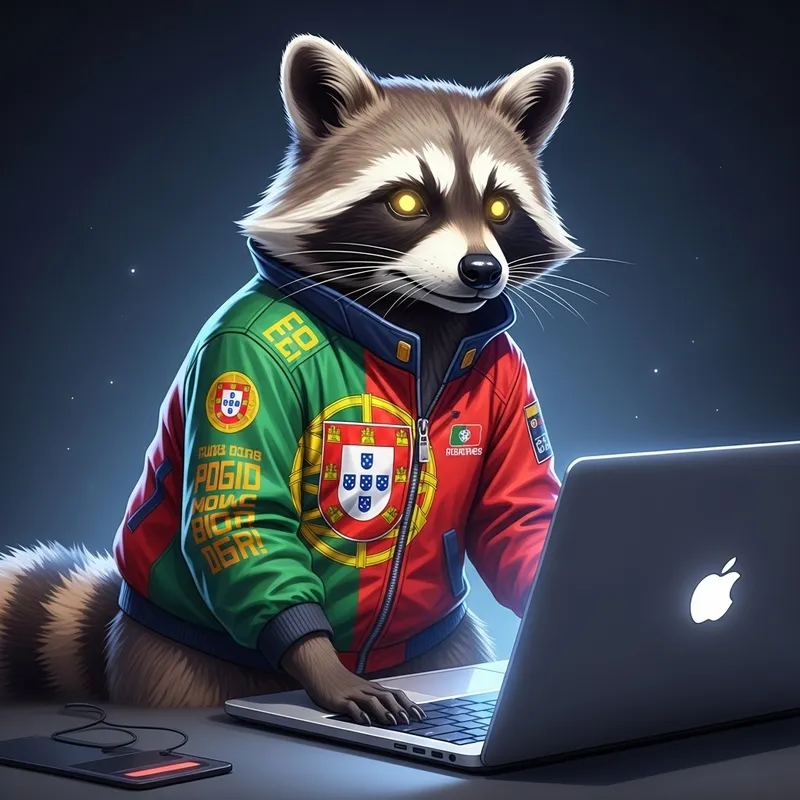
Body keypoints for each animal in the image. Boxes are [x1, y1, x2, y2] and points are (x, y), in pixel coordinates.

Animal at [0, 35, 578, 711]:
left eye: (499, 206)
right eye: (408, 201)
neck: (412, 322)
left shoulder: (504, 365)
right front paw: (323, 666)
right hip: (177, 660)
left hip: (442, 646)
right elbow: (242, 509)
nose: (482, 270)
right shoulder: (242, 358)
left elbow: (516, 504)